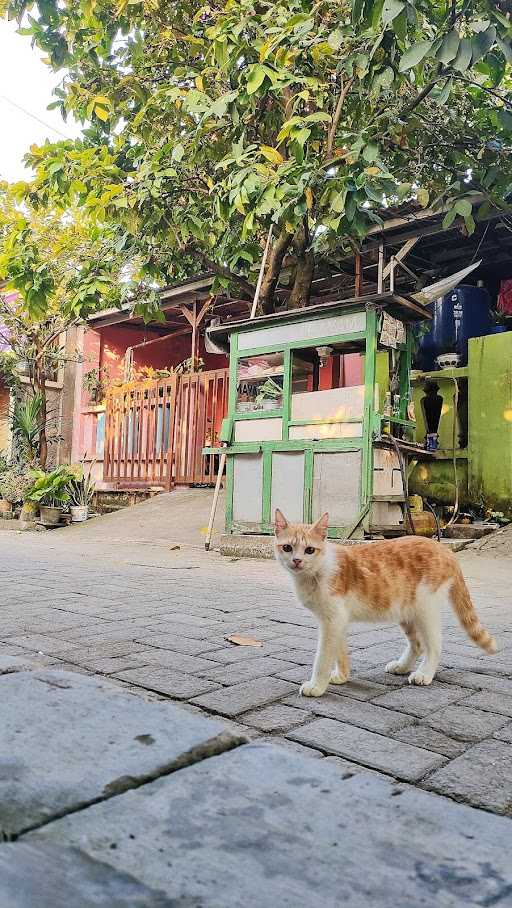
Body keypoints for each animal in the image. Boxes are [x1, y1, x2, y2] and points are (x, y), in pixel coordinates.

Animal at [276, 510, 496, 696]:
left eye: (309, 550)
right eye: (287, 548)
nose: (296, 560)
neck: (317, 571)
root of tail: (444, 548)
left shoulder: (333, 621)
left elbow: (323, 658)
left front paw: (317, 686)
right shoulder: (335, 621)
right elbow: (340, 651)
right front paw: (342, 676)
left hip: (425, 609)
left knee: (434, 645)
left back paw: (424, 673)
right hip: (406, 611)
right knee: (417, 644)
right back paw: (402, 666)